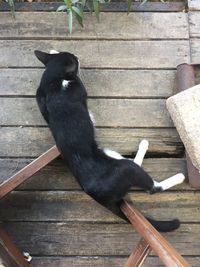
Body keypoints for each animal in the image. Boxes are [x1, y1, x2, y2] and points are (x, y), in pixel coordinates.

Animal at [34, 50, 183, 232]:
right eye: (74, 59)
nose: (78, 57)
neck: (51, 82)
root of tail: (96, 195)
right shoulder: (77, 87)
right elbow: (79, 83)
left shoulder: (40, 95)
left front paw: (52, 51)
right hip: (125, 170)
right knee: (151, 186)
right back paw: (178, 176)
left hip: (110, 154)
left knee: (134, 163)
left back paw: (143, 146)